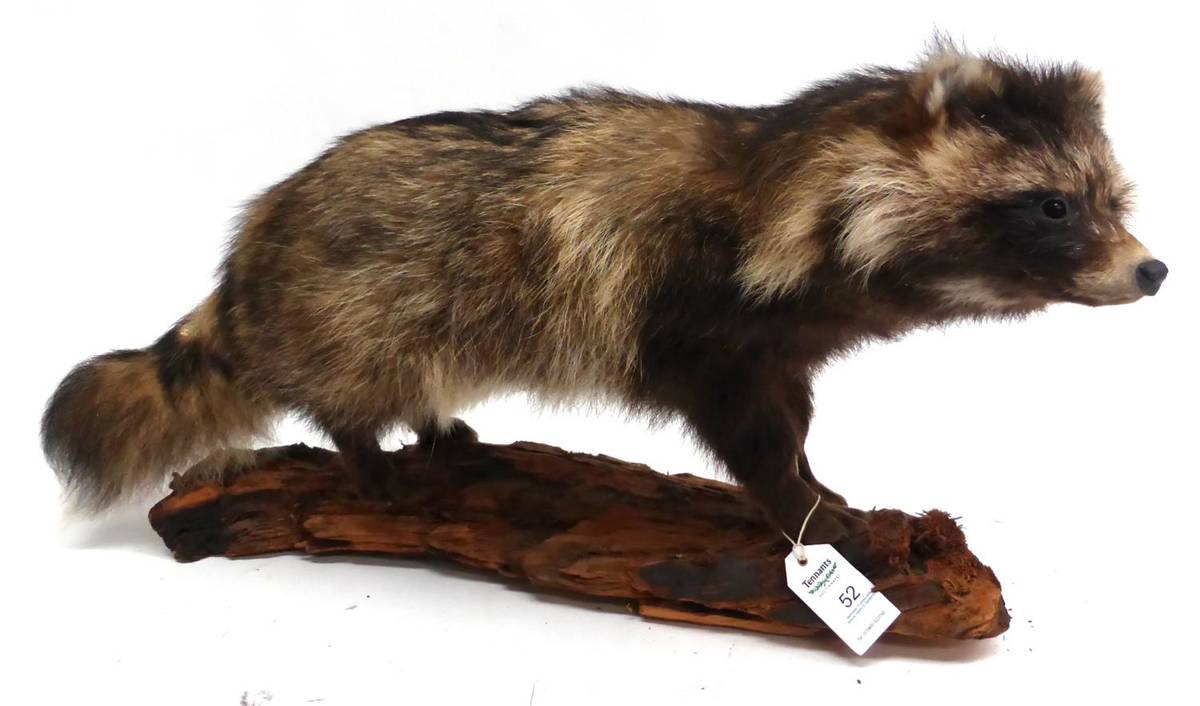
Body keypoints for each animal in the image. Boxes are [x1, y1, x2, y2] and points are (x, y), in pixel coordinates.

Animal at [42, 46, 1166, 544]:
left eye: (1112, 200)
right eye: (1053, 206)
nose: (1152, 269)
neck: (787, 174)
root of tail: (256, 244)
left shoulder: (782, 340)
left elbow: (795, 416)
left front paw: (821, 480)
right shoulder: (699, 313)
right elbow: (749, 430)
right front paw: (799, 507)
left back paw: (436, 425)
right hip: (357, 300)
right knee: (352, 383)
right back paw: (369, 450)